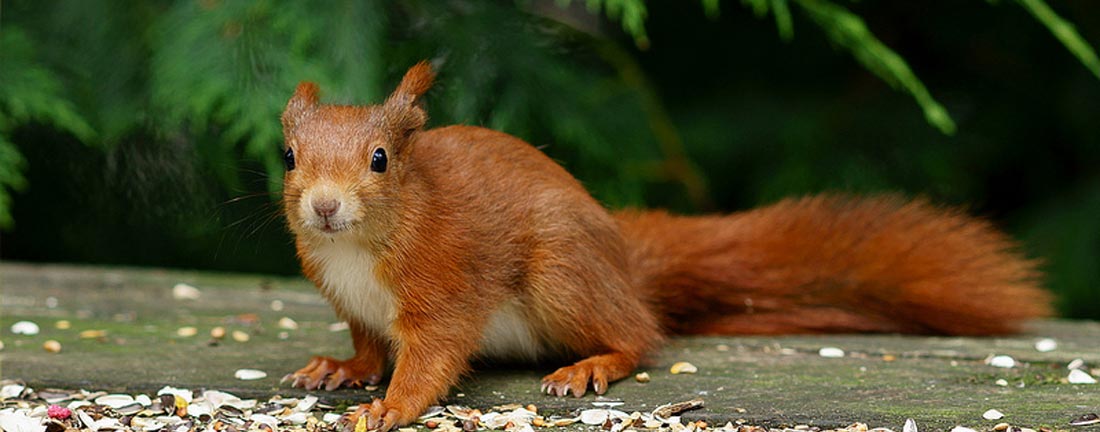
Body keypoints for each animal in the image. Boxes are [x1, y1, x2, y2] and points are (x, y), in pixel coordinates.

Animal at [279, 62, 1051, 431]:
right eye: (288, 157)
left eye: (380, 160)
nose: (324, 206)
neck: (359, 251)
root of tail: (625, 266)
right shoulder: (355, 303)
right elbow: (372, 348)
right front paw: (342, 369)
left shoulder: (444, 283)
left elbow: (431, 356)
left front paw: (391, 406)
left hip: (563, 275)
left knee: (640, 335)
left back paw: (592, 364)